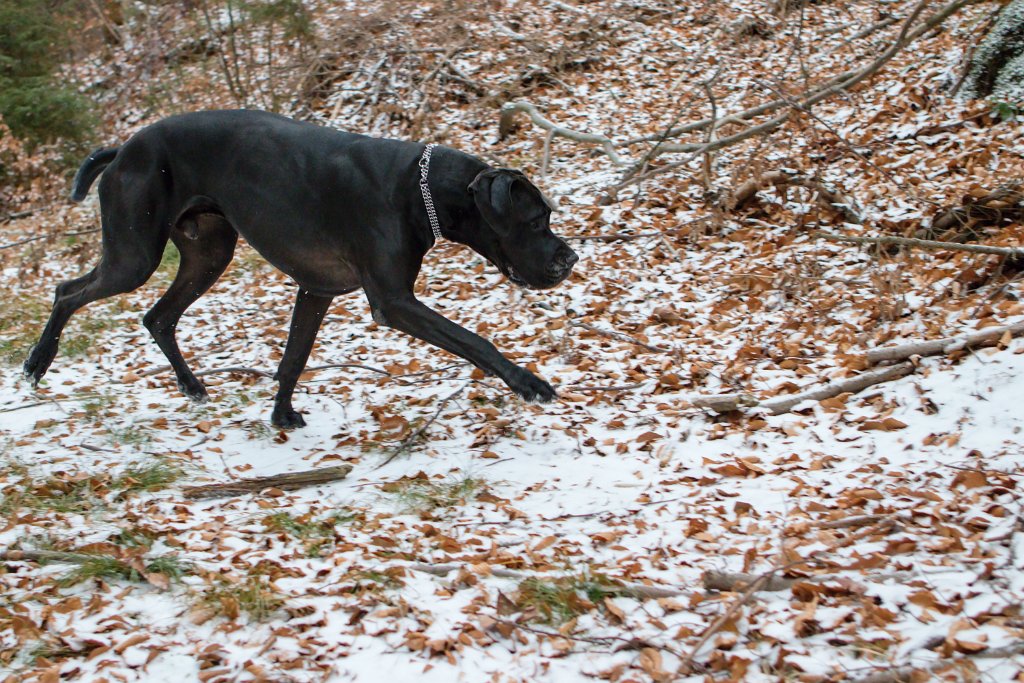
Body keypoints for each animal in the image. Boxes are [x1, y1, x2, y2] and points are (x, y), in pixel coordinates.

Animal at [24, 109, 581, 423]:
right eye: (538, 220)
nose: (571, 258)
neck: (416, 189)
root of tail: (123, 148)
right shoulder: (393, 302)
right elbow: (474, 341)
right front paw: (528, 383)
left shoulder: (316, 290)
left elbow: (293, 358)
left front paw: (280, 414)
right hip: (134, 256)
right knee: (68, 290)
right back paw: (37, 362)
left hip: (208, 255)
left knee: (157, 317)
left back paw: (191, 385)